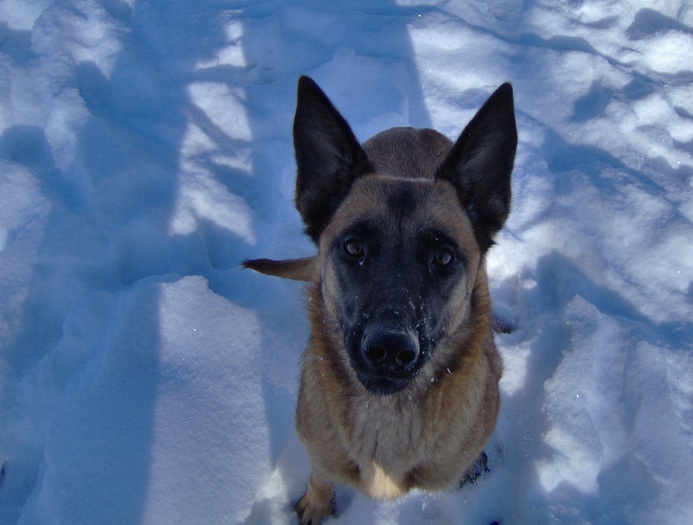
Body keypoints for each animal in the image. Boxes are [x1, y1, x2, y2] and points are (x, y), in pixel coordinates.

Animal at [246, 75, 516, 520]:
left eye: (443, 257)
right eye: (354, 247)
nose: (390, 349)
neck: (388, 416)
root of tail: (412, 128)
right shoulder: (319, 448)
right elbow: (321, 474)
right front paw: (317, 505)